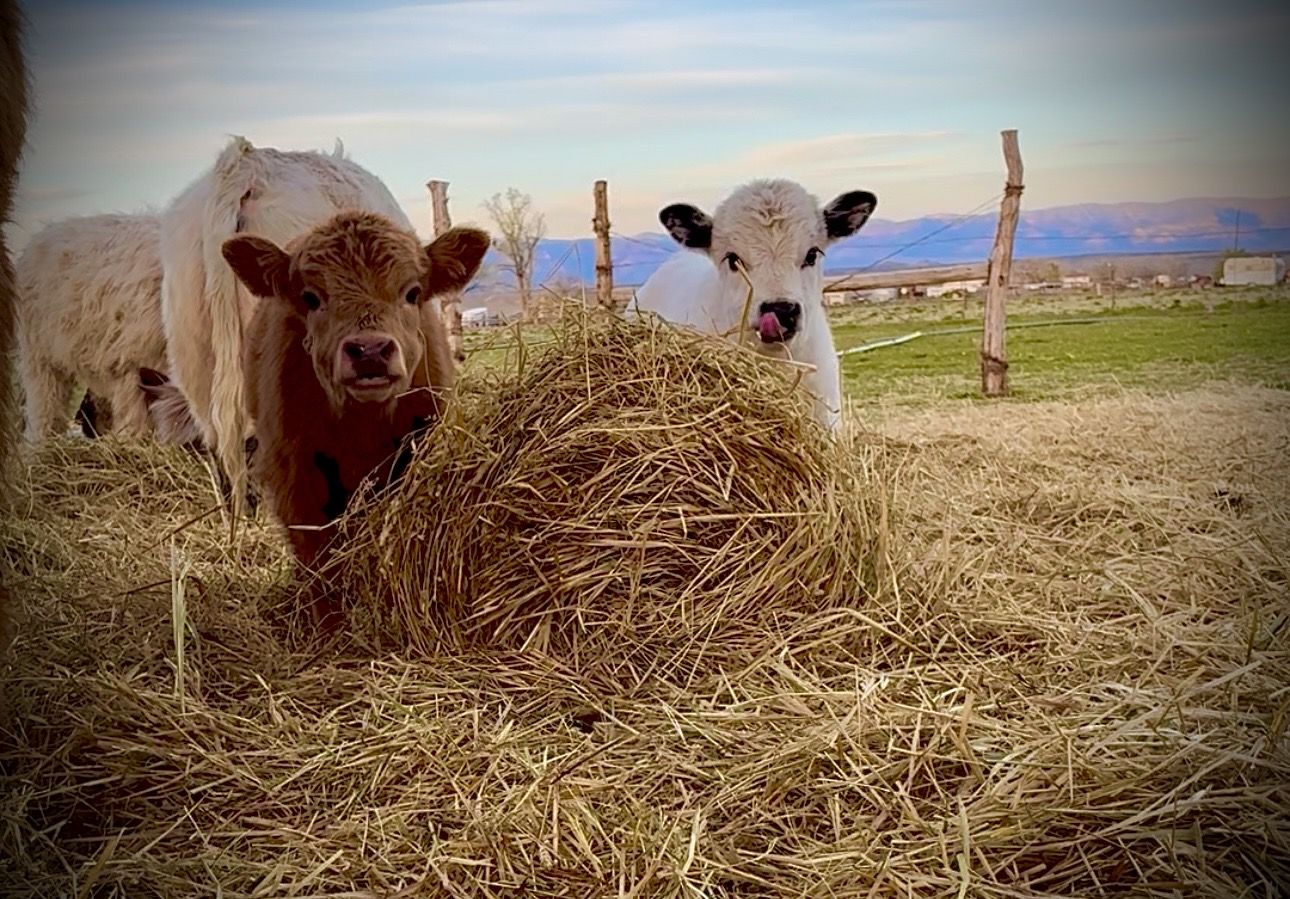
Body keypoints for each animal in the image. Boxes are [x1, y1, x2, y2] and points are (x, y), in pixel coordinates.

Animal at [221, 211, 489, 625]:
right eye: (311, 297)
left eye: (412, 292)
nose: (370, 351)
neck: (363, 426)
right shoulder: (295, 478)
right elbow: (317, 559)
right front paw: (330, 625)